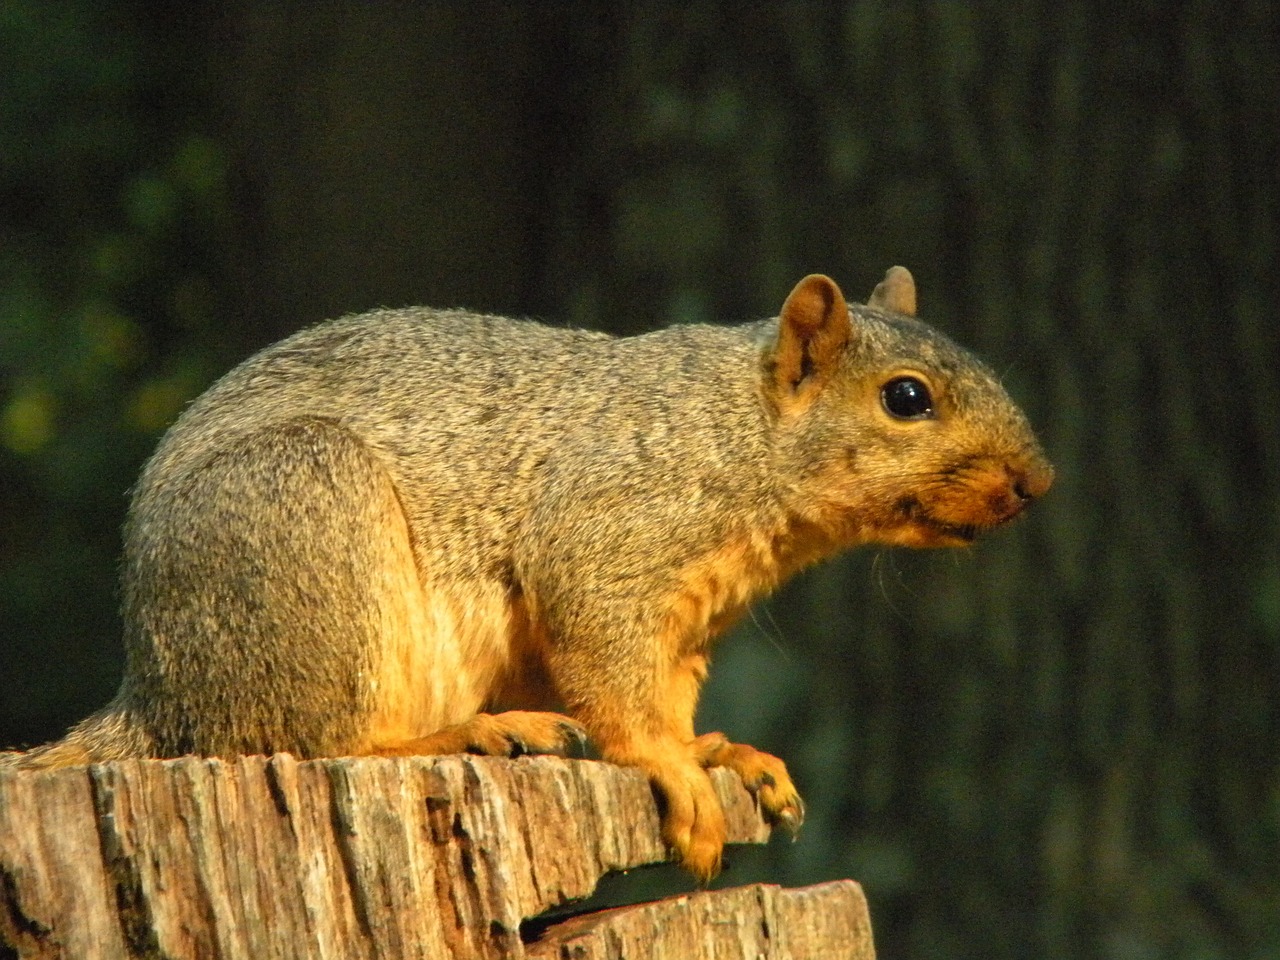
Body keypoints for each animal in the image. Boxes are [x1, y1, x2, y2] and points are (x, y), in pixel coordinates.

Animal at [5, 267, 1054, 885]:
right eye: (907, 399)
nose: (1036, 482)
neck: (736, 429)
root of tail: (154, 691)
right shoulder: (605, 539)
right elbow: (612, 684)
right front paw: (672, 767)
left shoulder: (685, 622)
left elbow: (663, 693)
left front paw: (716, 750)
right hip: (309, 524)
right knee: (311, 738)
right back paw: (471, 730)